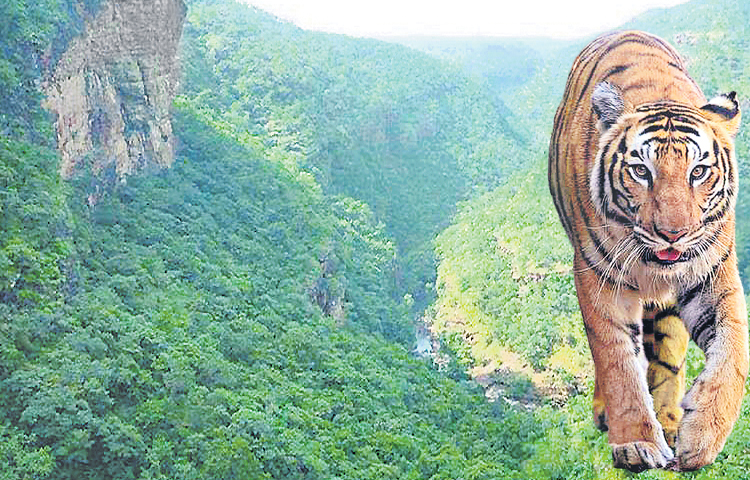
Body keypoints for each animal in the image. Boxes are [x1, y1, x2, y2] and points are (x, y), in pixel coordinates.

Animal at [548, 30, 748, 472]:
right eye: (641, 171)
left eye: (698, 172)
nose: (673, 234)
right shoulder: (598, 276)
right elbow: (617, 360)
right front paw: (636, 445)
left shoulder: (714, 273)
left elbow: (733, 352)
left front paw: (702, 437)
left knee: (668, 353)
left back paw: (671, 421)